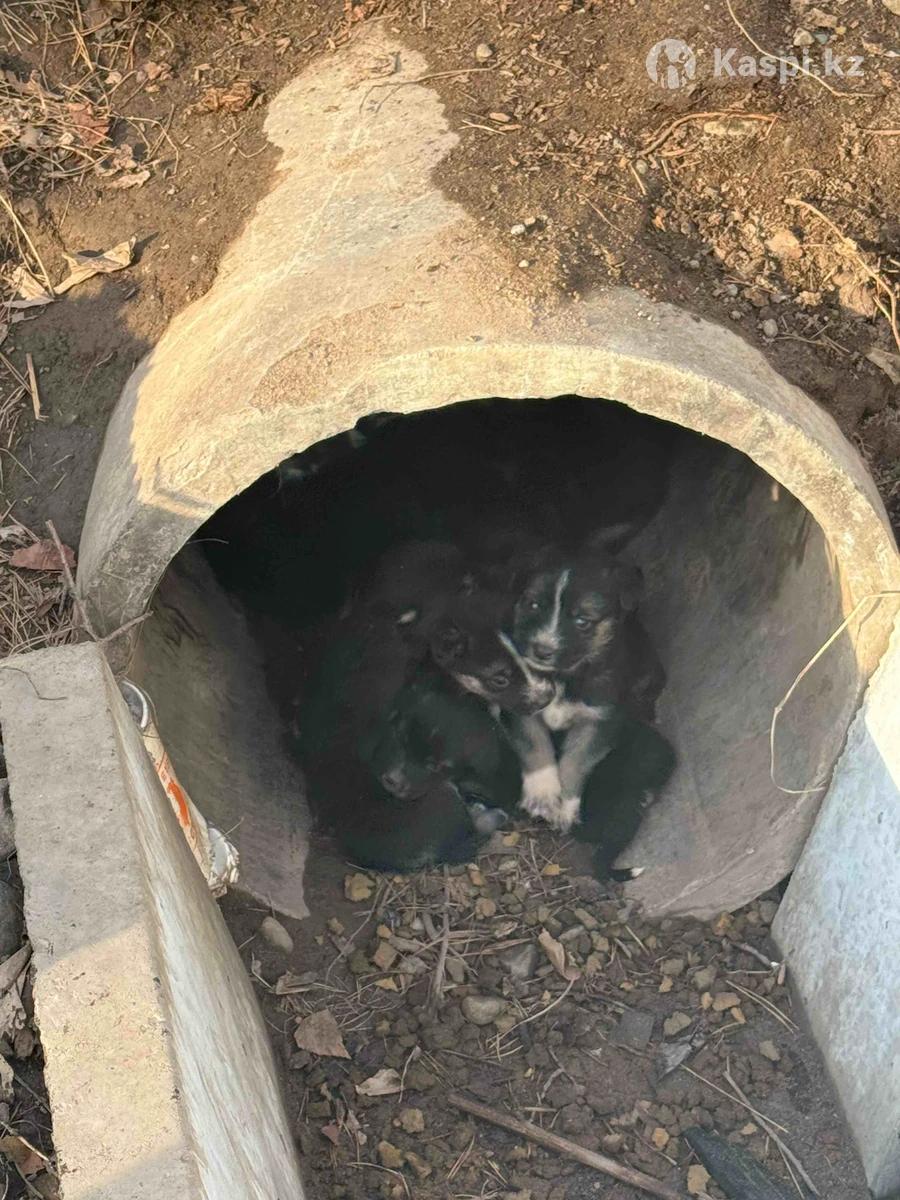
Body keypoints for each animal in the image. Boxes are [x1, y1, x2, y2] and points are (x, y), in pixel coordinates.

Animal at [507, 545, 665, 831]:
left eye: (582, 621)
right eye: (533, 604)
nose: (542, 650)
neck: (562, 678)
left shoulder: (600, 719)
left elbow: (577, 759)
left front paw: (565, 807)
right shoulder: (521, 705)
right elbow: (533, 743)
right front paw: (542, 796)